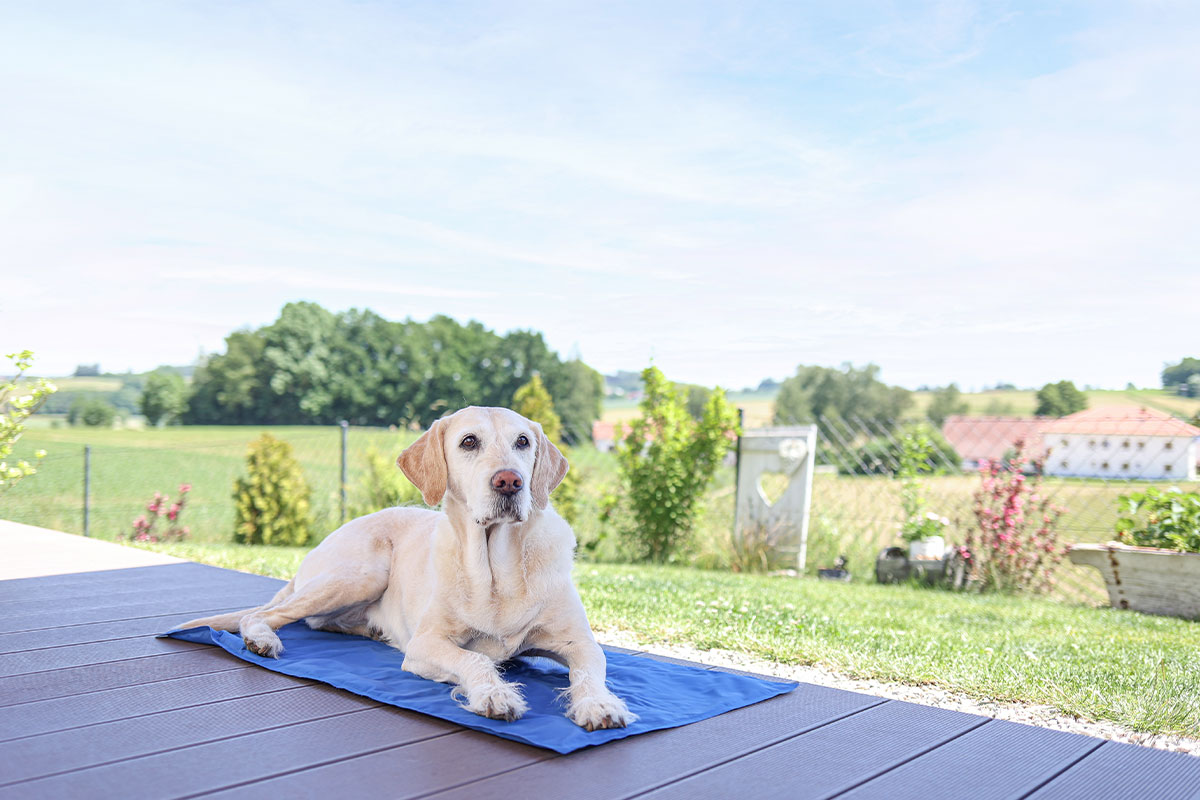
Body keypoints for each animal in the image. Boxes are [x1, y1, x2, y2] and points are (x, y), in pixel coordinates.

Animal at [182, 407, 633, 734]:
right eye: (469, 442)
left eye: (523, 441)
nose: (510, 481)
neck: (497, 572)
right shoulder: (426, 644)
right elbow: (476, 660)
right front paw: (495, 695)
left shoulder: (580, 643)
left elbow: (589, 674)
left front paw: (598, 704)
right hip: (362, 573)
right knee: (262, 614)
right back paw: (262, 639)